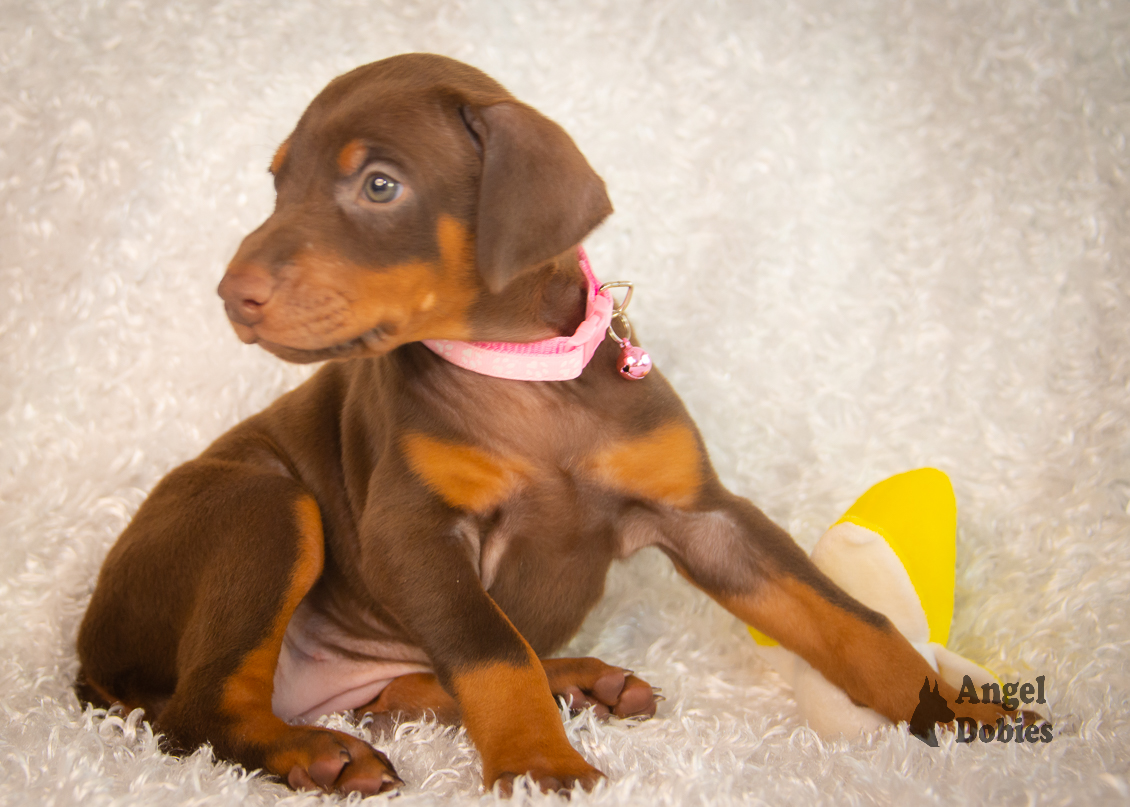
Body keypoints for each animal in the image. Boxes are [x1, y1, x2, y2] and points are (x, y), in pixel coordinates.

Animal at [75, 53, 1012, 795]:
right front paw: (537, 762)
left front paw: (949, 707)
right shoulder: (413, 531)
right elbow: (491, 650)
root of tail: (86, 660)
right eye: (278, 184)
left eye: (379, 184)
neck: (522, 374)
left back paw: (576, 682)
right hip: (266, 507)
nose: (231, 294)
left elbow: (846, 616)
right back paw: (318, 753)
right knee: (198, 712)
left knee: (405, 686)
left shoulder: (707, 515)